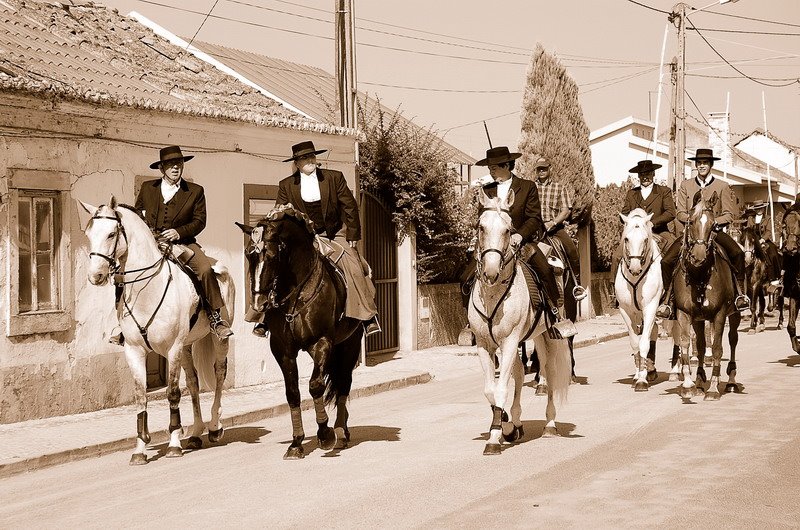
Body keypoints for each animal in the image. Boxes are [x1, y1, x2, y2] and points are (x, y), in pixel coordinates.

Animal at [81, 197, 234, 462]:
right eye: (89, 234)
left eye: (111, 234)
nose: (96, 275)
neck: (147, 290)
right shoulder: (134, 350)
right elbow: (141, 396)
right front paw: (140, 448)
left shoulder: (172, 348)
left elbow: (172, 393)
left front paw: (173, 444)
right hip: (186, 346)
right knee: (193, 383)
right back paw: (196, 433)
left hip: (217, 340)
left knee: (219, 374)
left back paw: (215, 427)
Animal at [238, 204, 362, 456]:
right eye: (249, 254)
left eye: (272, 256)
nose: (259, 304)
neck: (297, 291)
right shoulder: (282, 350)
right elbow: (293, 393)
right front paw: (296, 442)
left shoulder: (322, 342)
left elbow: (315, 385)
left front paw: (324, 433)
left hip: (350, 344)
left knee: (344, 383)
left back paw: (341, 430)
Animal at [466, 188, 572, 452]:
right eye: (480, 227)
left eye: (508, 229)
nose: (491, 272)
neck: (493, 294)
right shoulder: (485, 345)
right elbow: (490, 390)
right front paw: (504, 424)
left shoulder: (511, 341)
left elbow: (502, 387)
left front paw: (494, 437)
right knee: (520, 373)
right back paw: (515, 421)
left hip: (545, 336)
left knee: (549, 373)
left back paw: (550, 424)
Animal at [612, 209, 668, 388]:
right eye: (627, 239)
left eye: (645, 239)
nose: (635, 268)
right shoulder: (626, 311)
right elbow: (635, 342)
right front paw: (639, 373)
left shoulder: (650, 307)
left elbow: (643, 342)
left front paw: (642, 380)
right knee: (653, 331)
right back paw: (650, 369)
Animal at [672, 192, 740, 398]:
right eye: (691, 221)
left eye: (713, 225)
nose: (699, 256)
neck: (699, 274)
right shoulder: (684, 313)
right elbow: (686, 343)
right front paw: (688, 384)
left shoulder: (719, 314)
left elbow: (717, 348)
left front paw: (713, 387)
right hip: (698, 319)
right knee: (701, 345)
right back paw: (700, 379)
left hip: (734, 314)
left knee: (732, 340)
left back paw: (730, 381)